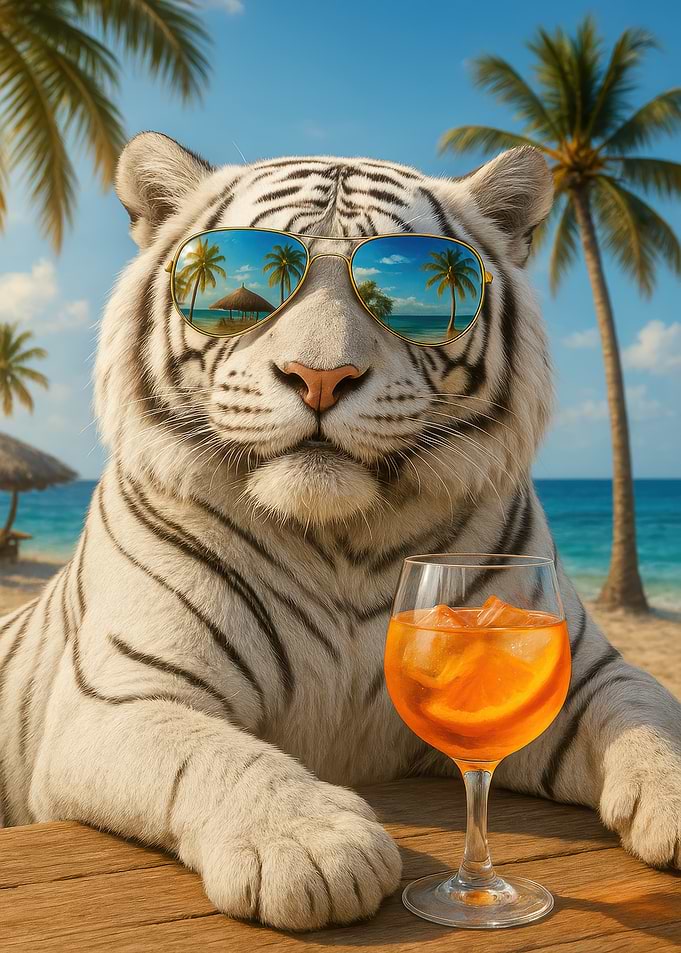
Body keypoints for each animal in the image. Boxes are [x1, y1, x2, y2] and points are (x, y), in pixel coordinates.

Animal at [1, 132, 680, 932]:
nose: (319, 376)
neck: (342, 540)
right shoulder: (123, 696)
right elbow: (209, 753)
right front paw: (308, 844)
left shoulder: (572, 672)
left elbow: (646, 713)